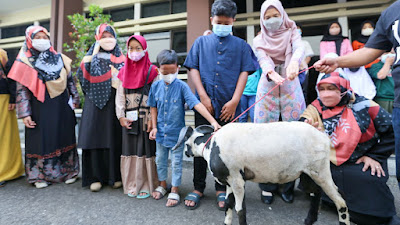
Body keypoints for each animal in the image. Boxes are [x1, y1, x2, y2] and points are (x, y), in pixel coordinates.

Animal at [172, 122, 350, 225]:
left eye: (185, 143)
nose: (186, 153)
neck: (211, 147)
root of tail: (324, 137)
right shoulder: (229, 181)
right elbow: (228, 204)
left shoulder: (237, 180)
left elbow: (240, 209)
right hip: (309, 173)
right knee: (316, 193)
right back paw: (309, 220)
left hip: (321, 170)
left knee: (340, 199)